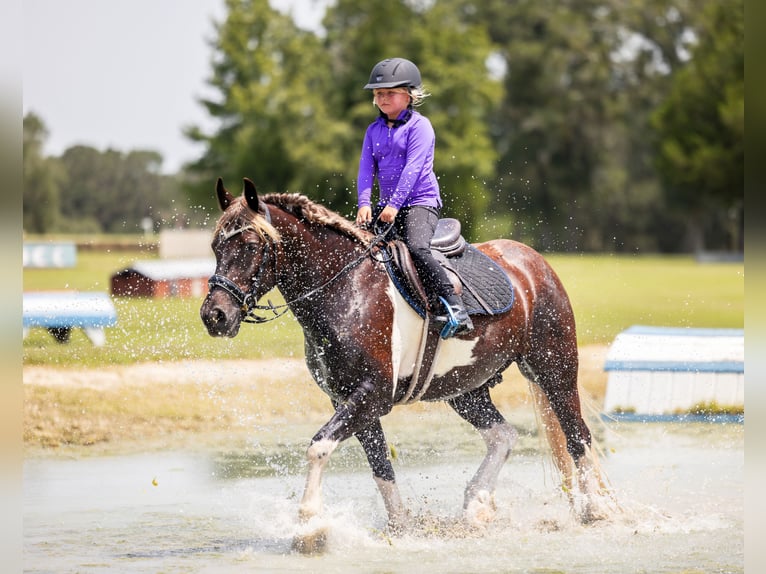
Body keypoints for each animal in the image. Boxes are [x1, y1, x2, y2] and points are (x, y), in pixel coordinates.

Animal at [200, 178, 613, 550]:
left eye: (251, 245)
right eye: (216, 246)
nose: (214, 316)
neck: (346, 289)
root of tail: (533, 260)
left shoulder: (372, 396)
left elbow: (319, 446)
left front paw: (309, 527)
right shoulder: (348, 400)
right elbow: (380, 465)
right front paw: (400, 526)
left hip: (554, 370)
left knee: (577, 436)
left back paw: (596, 511)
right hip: (463, 389)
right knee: (503, 435)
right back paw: (477, 506)